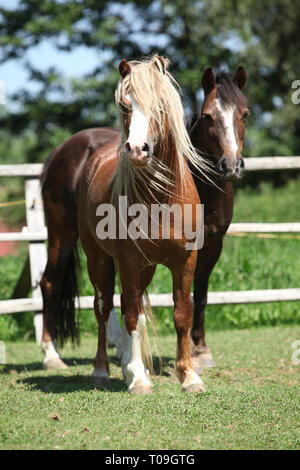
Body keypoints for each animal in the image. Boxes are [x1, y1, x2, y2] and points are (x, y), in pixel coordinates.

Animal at [38, 64, 247, 376]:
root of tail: (60, 151)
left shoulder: (211, 245)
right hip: (61, 235)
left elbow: (200, 294)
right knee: (50, 284)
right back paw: (52, 354)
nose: (231, 166)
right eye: (208, 116)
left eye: (244, 114)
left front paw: (200, 351)